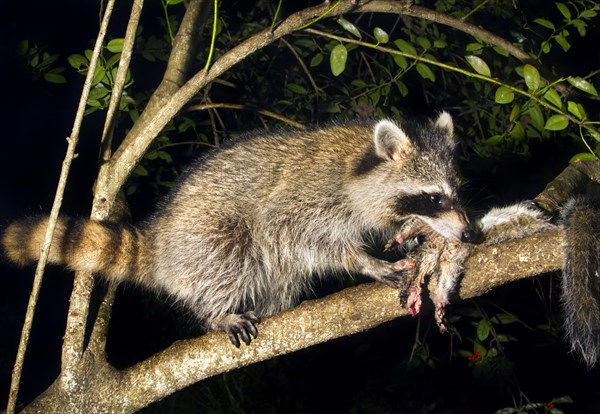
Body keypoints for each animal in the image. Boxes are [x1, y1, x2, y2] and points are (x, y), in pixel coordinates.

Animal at [1, 112, 478, 346]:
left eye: (456, 192)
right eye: (433, 198)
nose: (470, 234)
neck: (356, 161)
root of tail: (161, 235)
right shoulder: (305, 200)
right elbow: (303, 236)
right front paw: (364, 261)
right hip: (205, 236)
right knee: (232, 254)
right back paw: (216, 312)